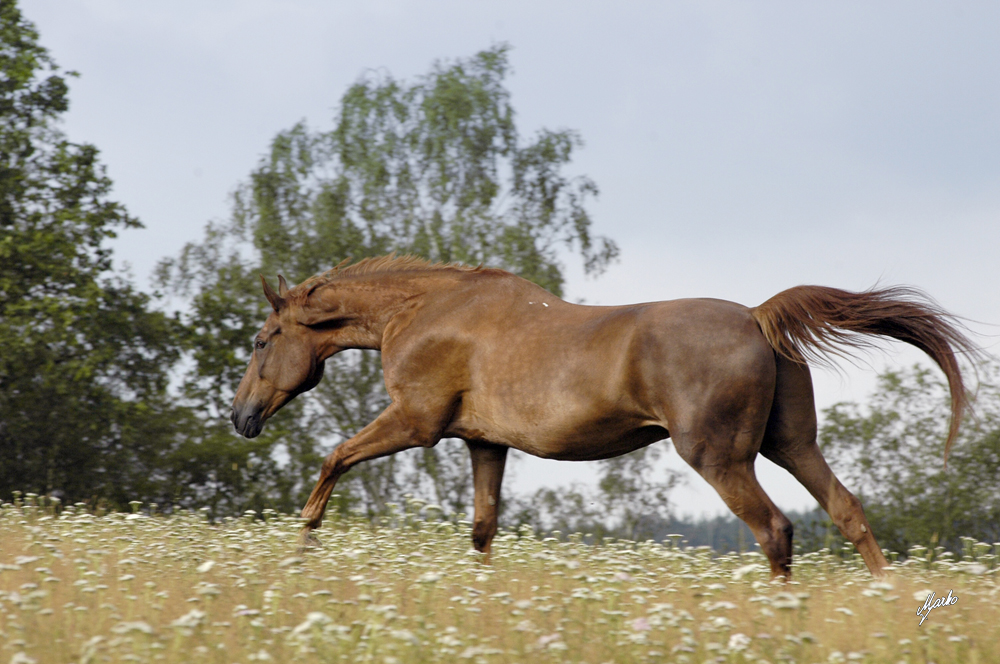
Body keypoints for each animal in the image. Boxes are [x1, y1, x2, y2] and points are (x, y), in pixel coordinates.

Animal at [230, 256, 972, 580]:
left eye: (264, 341)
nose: (241, 417)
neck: (421, 312)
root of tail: (758, 318)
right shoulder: (483, 444)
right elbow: (482, 531)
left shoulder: (416, 423)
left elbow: (332, 460)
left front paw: (301, 548)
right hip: (792, 445)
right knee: (847, 511)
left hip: (720, 458)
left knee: (775, 530)